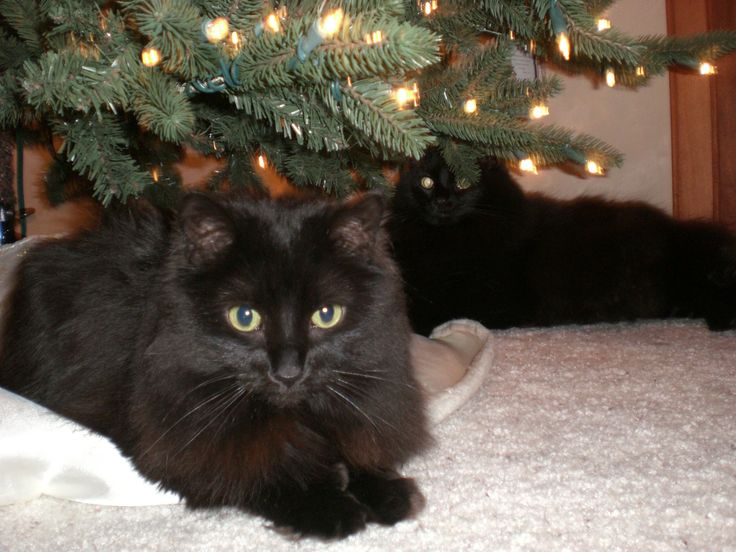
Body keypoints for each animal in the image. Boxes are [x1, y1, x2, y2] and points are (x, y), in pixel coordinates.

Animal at [0, 191, 428, 540]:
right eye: (244, 317)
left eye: (326, 315)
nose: (288, 372)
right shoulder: (182, 446)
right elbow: (259, 468)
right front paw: (328, 506)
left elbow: (356, 445)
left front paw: (385, 490)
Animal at [388, 148, 736, 336]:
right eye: (426, 182)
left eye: (462, 182)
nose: (442, 202)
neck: (448, 240)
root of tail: (676, 229)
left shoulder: (488, 300)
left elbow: (425, 315)